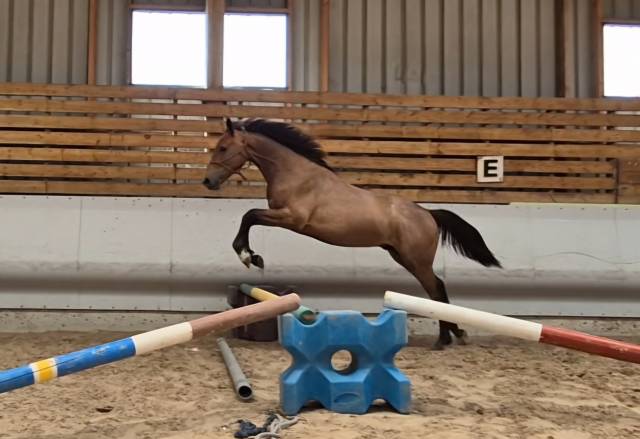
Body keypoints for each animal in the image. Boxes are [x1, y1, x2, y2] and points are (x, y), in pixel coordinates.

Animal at [203, 118, 502, 350]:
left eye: (223, 147)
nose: (208, 181)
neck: (297, 175)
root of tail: (428, 213)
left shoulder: (292, 219)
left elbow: (249, 215)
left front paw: (248, 256)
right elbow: (250, 216)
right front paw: (251, 256)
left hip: (416, 261)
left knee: (437, 289)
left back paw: (445, 339)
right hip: (402, 257)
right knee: (436, 290)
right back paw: (455, 334)